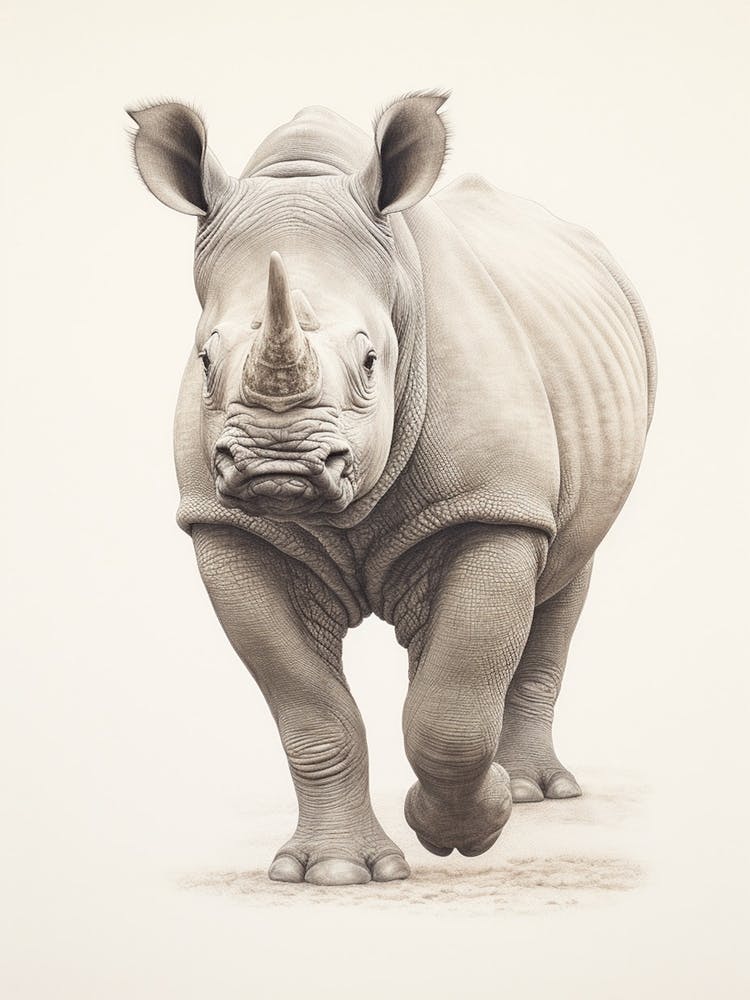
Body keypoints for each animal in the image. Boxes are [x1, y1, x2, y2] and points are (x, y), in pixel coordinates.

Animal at [128, 91, 656, 885]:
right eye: (206, 359)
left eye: (372, 360)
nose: (277, 464)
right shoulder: (227, 528)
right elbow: (311, 712)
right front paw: (332, 873)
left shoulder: (493, 505)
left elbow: (453, 712)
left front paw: (468, 826)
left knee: (563, 573)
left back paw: (534, 793)